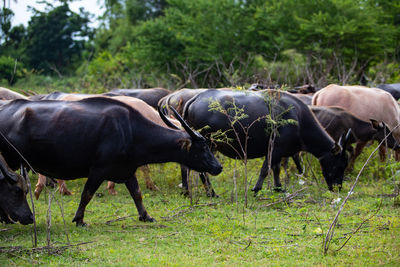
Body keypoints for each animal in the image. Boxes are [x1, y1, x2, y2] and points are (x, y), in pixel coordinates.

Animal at [0, 97, 222, 225]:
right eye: (203, 148)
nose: (218, 167)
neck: (130, 131)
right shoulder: (98, 170)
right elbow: (87, 194)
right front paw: (79, 219)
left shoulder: (127, 170)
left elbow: (137, 194)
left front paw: (146, 216)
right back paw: (6, 219)